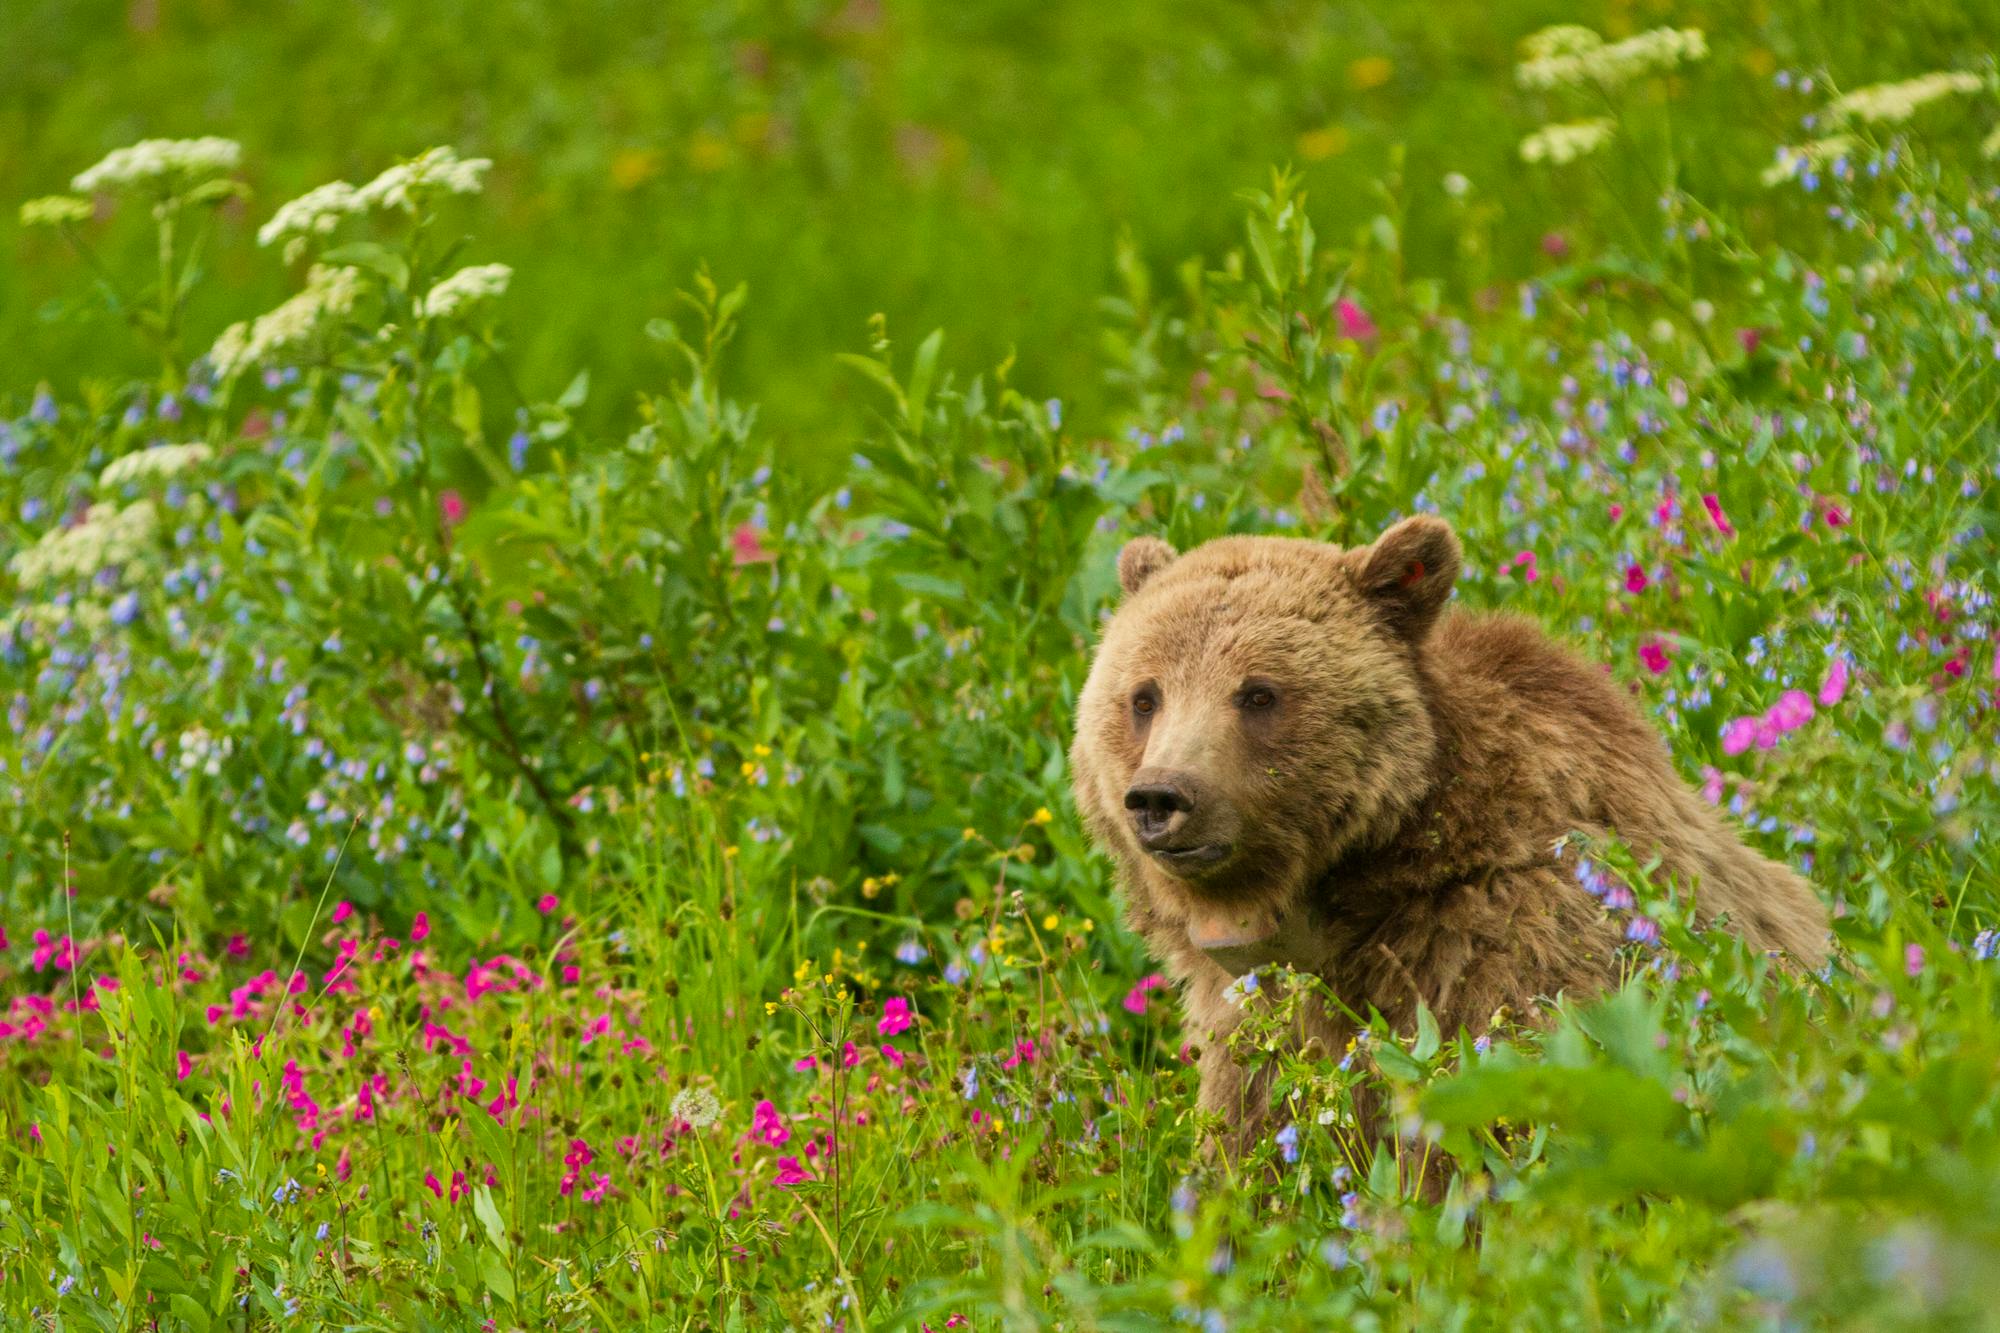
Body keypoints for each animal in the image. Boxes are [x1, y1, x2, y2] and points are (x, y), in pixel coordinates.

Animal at [1069, 517, 1829, 1163]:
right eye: (1144, 696)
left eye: (1259, 692)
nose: (1162, 797)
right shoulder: (1248, 1020)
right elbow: (1248, 1142)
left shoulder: (1501, 949)